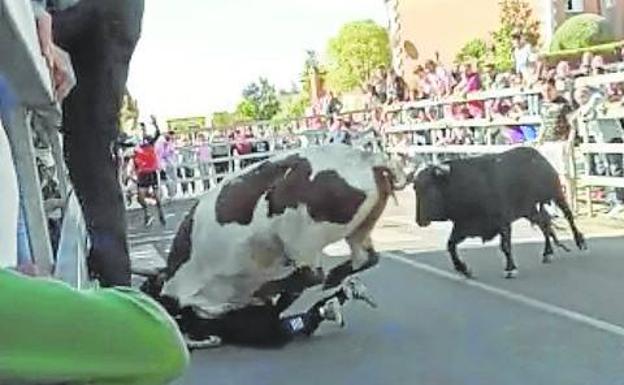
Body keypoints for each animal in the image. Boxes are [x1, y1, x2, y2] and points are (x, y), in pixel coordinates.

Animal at [414, 146, 584, 276]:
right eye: (416, 188)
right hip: (529, 210)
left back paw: (580, 241)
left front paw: (510, 269)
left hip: (556, 194)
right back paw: (547, 253)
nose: (419, 220)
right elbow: (450, 245)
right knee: (545, 224)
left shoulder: (503, 222)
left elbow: (505, 246)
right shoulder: (462, 226)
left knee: (568, 216)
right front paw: (463, 268)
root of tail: (538, 157)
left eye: (428, 188)